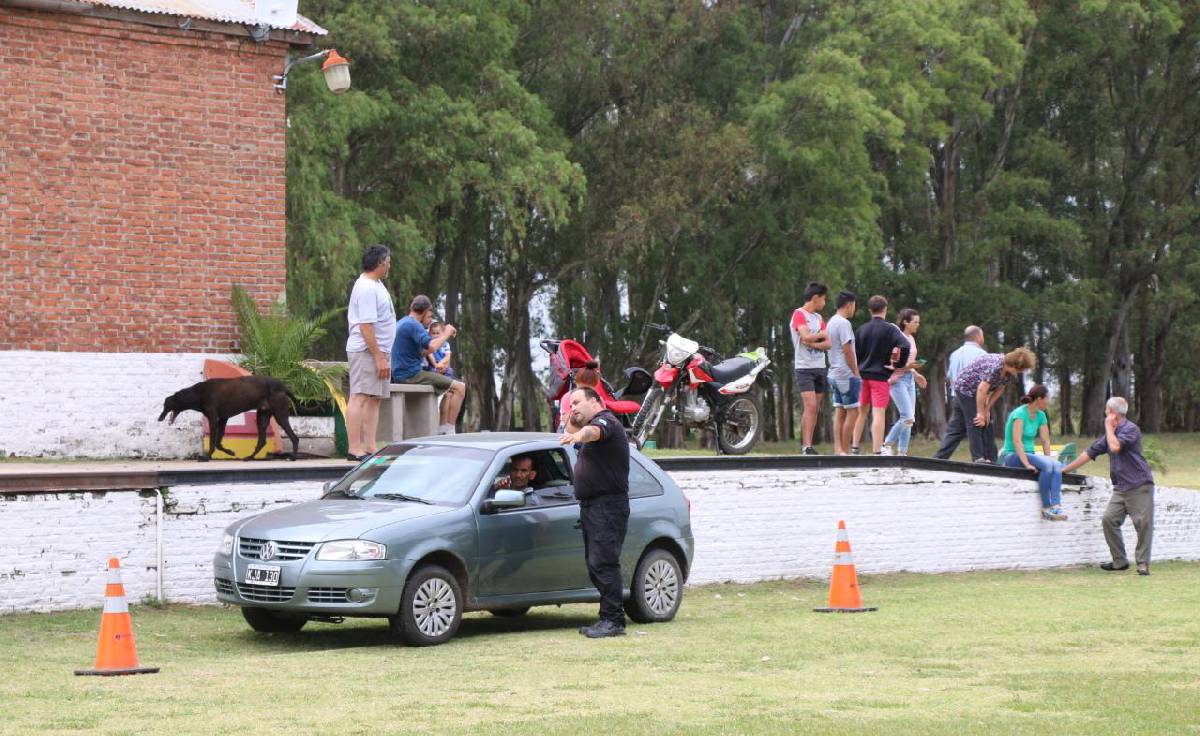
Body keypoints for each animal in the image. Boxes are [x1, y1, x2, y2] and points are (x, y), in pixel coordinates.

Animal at [158, 372, 298, 458]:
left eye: (165, 405)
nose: (159, 418)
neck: (198, 393)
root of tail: (283, 387)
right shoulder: (223, 419)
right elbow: (218, 443)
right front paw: (230, 452)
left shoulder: (213, 419)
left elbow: (213, 442)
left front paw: (207, 457)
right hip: (262, 416)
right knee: (262, 441)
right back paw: (250, 457)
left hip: (280, 415)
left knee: (294, 437)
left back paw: (293, 457)